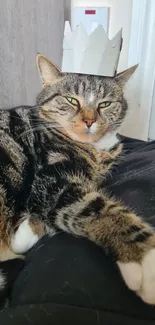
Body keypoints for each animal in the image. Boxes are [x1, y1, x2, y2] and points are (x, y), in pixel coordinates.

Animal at [0, 53, 155, 304]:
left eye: (104, 104)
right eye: (72, 101)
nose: (89, 121)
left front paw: (28, 229)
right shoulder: (50, 185)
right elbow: (94, 208)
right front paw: (144, 255)